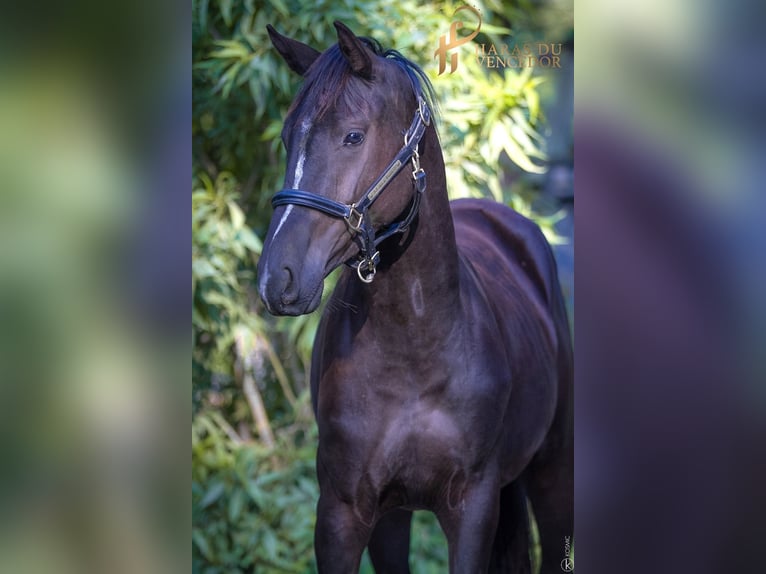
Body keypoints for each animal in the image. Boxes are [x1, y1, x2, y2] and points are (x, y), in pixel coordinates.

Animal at [260, 20, 576, 572]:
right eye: (285, 139)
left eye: (353, 135)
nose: (277, 278)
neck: (414, 347)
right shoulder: (347, 512)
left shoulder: (472, 509)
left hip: (554, 472)